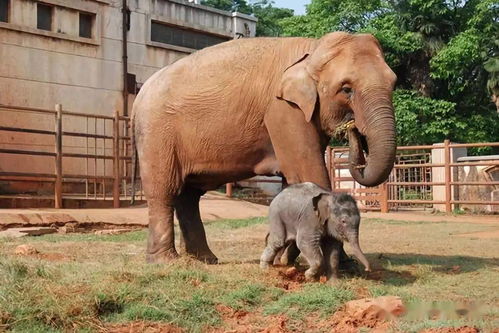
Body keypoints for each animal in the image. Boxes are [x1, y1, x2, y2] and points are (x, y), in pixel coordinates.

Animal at [133, 32, 398, 264]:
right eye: (346, 89)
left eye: (394, 85)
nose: (352, 128)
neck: (312, 49)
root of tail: (139, 95)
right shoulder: (283, 111)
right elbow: (309, 172)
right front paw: (339, 263)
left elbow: (294, 180)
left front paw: (288, 258)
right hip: (157, 134)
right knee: (164, 191)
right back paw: (165, 261)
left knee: (189, 195)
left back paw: (205, 260)